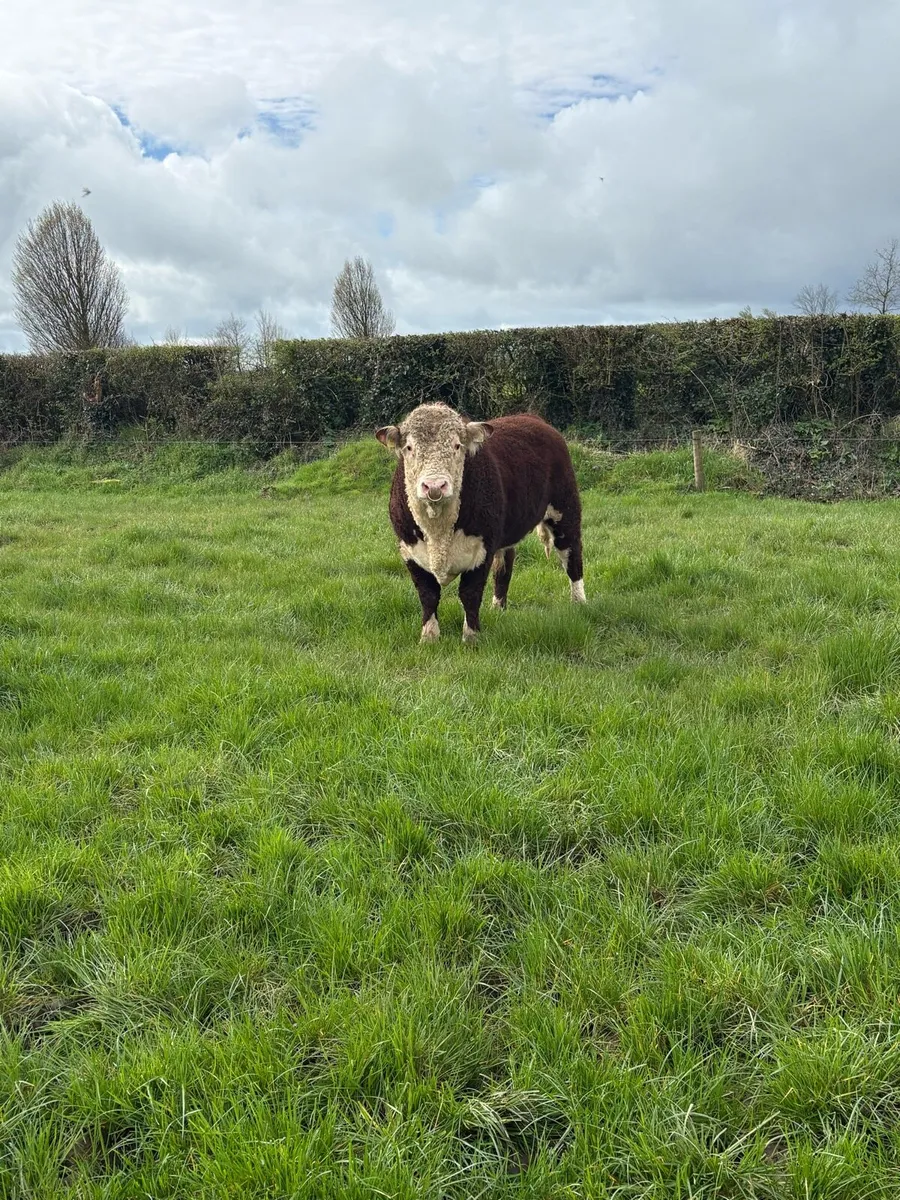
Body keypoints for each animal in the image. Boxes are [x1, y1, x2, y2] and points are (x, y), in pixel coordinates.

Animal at [375, 403, 586, 643]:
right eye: (409, 447)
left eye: (457, 445)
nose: (435, 486)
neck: (438, 531)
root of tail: (532, 417)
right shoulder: (409, 551)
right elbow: (428, 595)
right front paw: (429, 638)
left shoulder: (482, 548)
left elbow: (470, 594)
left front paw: (471, 637)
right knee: (504, 568)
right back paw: (498, 608)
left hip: (565, 509)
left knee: (572, 556)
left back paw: (579, 603)